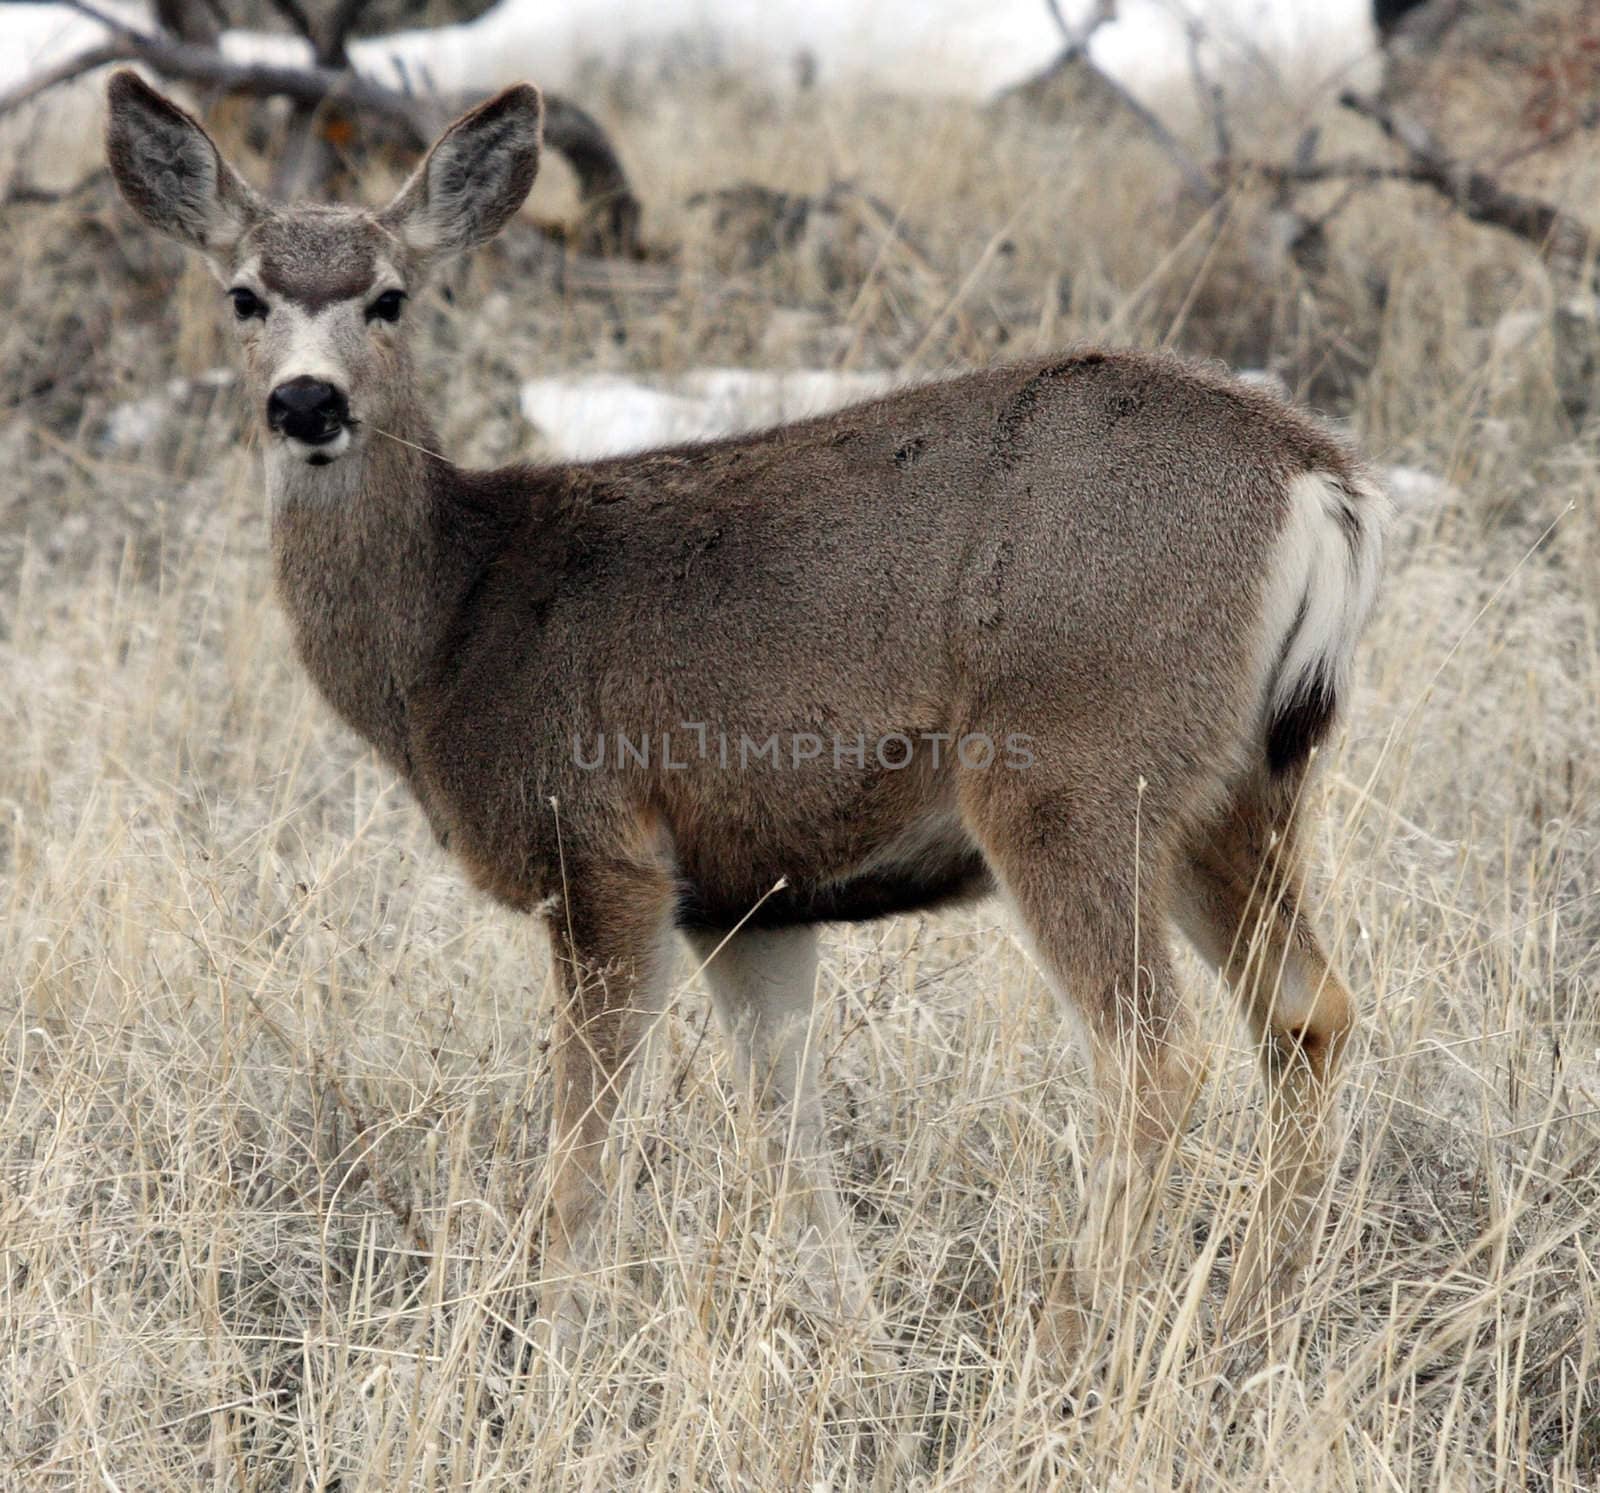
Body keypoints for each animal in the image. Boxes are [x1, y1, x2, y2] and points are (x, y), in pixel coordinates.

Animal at [109, 72, 1388, 1363]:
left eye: (389, 296)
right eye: (242, 294)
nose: (305, 401)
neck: (451, 629)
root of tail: (1317, 482)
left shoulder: (601, 854)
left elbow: (585, 1151)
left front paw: (557, 1348)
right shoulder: (748, 899)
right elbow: (789, 1135)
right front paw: (857, 1346)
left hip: (1071, 764)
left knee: (1153, 1054)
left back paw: (1067, 1331)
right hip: (1237, 782)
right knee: (1307, 1011)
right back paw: (1257, 1312)